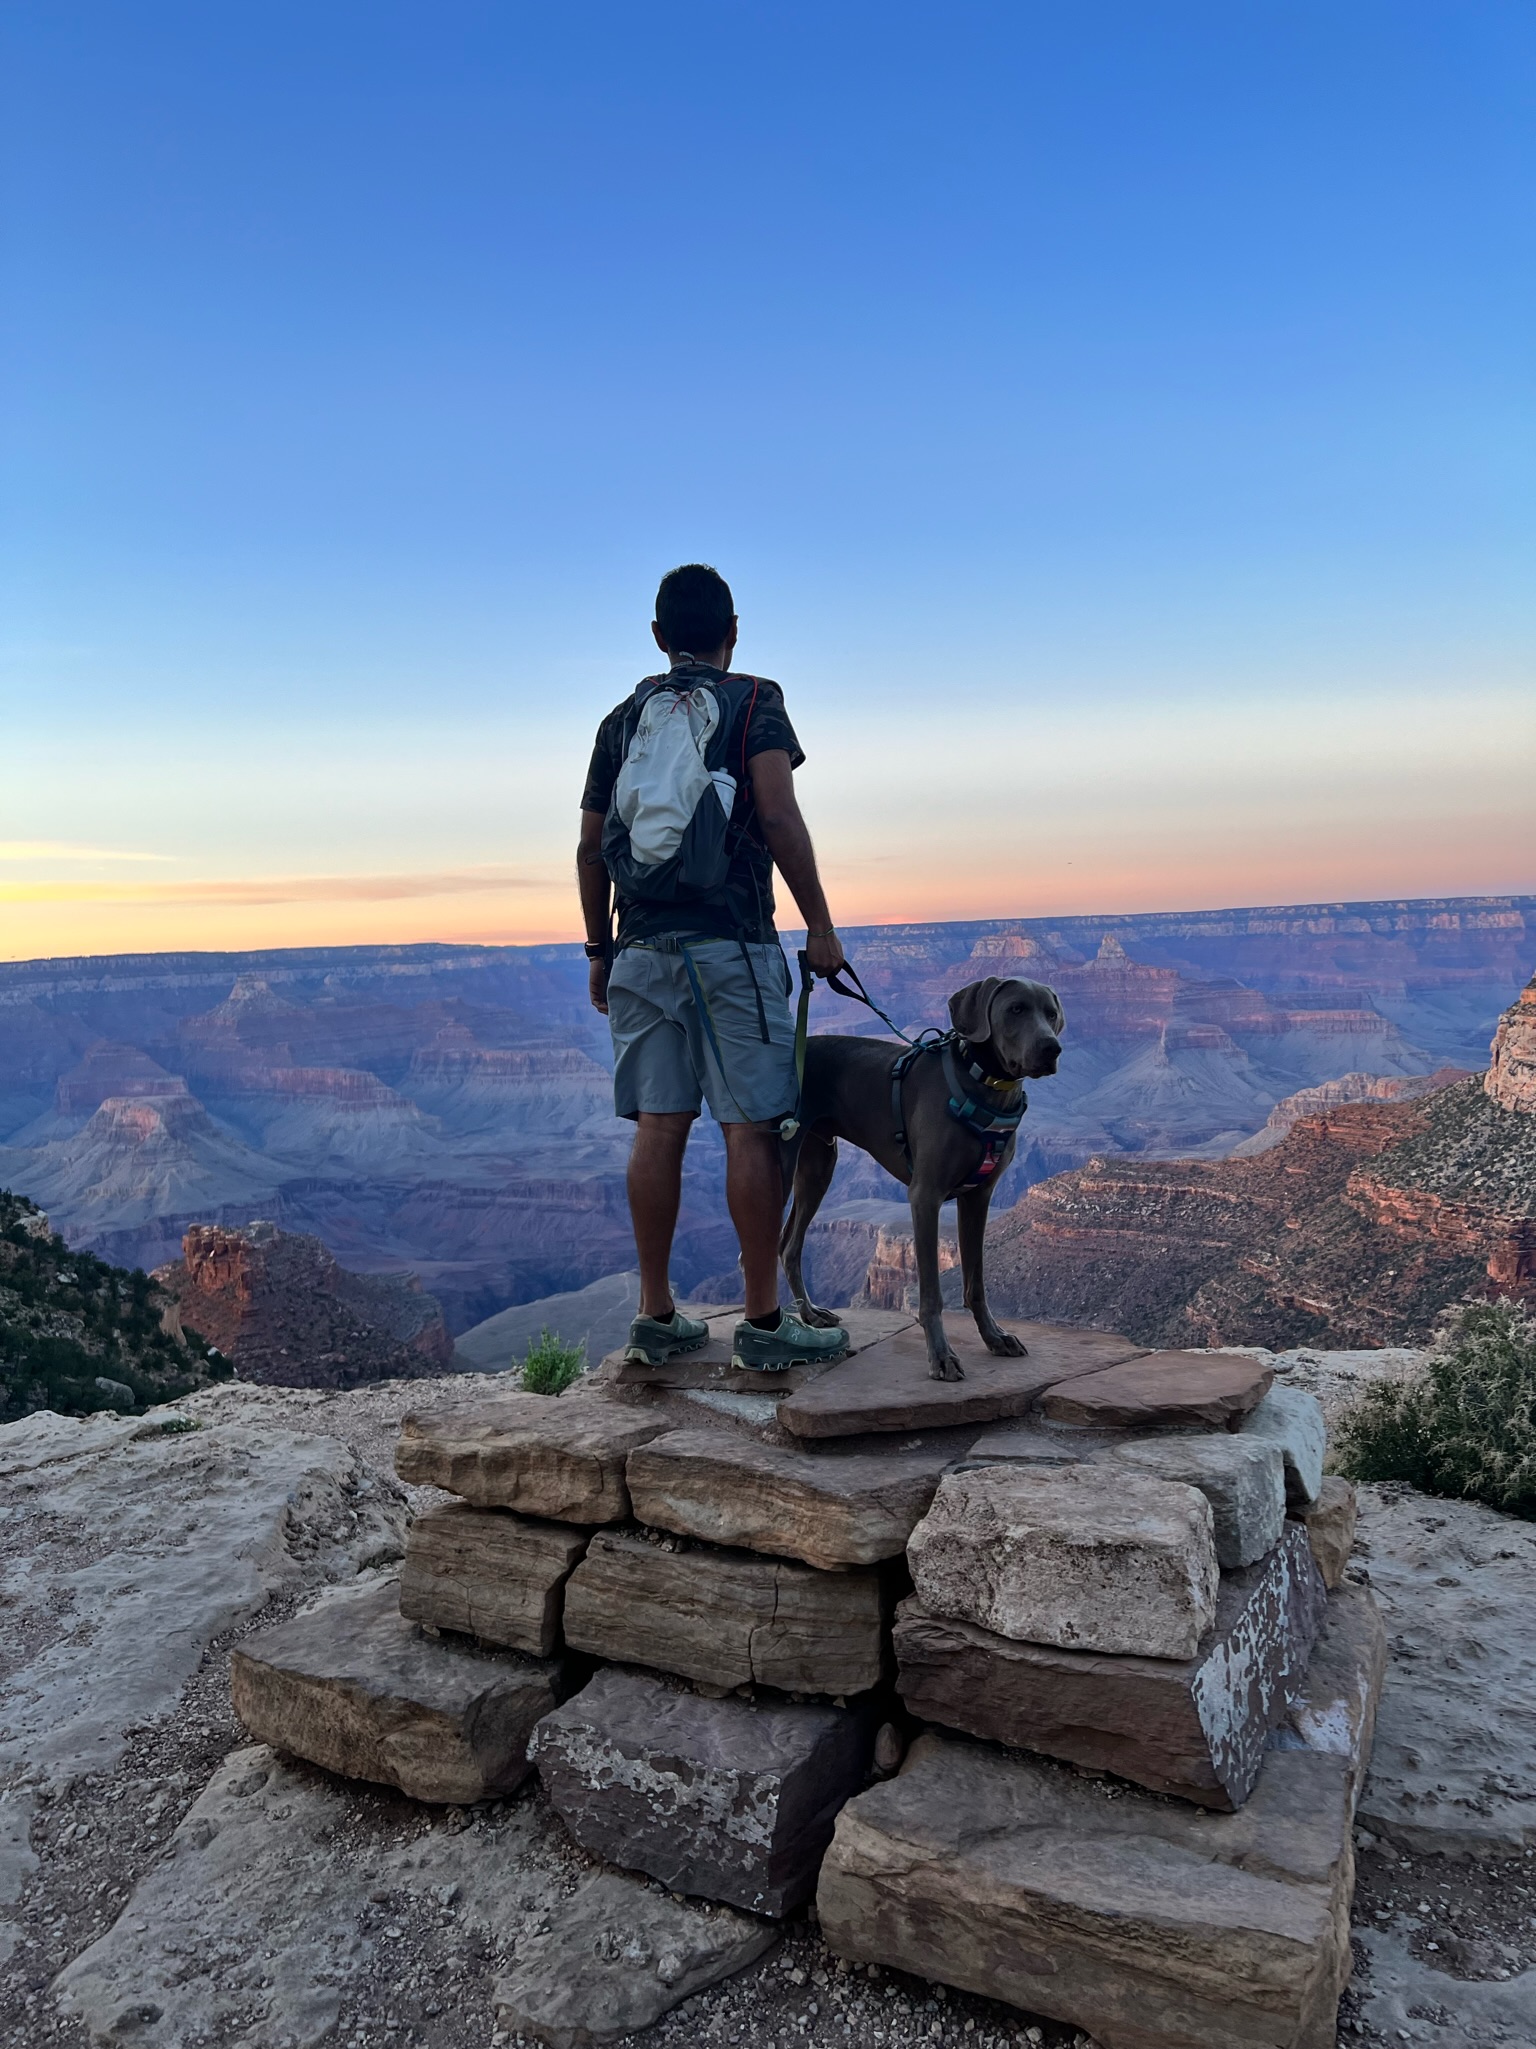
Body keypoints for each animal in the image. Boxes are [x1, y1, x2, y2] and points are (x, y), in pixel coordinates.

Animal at [786, 971, 1064, 1376]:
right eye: (1016, 1009)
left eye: (1051, 1013)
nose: (1051, 1048)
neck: (985, 1084)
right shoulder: (925, 1196)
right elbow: (931, 1293)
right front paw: (942, 1355)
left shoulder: (978, 1198)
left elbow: (975, 1284)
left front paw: (994, 1337)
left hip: (817, 1166)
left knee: (787, 1245)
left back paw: (810, 1314)